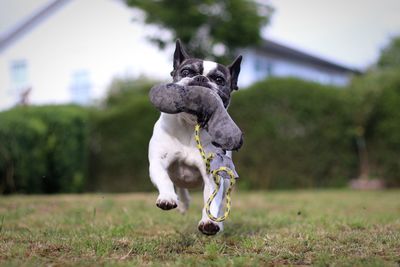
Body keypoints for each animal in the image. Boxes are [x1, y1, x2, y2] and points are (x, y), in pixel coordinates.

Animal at [147, 40, 241, 237]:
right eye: (186, 72)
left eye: (219, 80)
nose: (201, 78)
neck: (190, 126)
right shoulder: (158, 162)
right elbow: (164, 178)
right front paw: (167, 198)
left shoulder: (213, 175)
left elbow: (212, 201)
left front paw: (210, 222)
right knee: (179, 186)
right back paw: (182, 202)